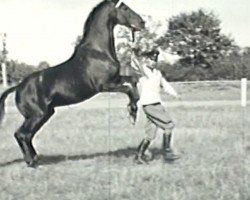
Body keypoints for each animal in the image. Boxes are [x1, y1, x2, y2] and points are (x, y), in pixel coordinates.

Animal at [0, 0, 145, 167]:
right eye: (125, 8)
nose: (142, 23)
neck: (98, 52)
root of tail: (18, 87)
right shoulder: (104, 85)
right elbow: (128, 90)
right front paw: (132, 113)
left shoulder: (116, 79)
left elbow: (133, 81)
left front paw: (133, 111)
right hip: (37, 115)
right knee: (21, 134)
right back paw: (32, 162)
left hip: (44, 114)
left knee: (27, 135)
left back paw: (36, 159)